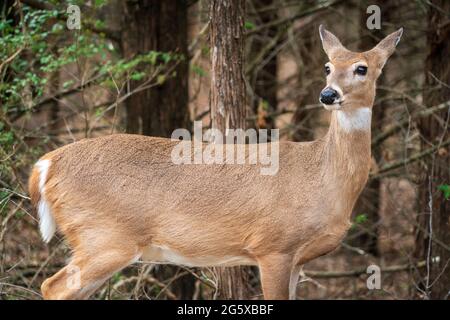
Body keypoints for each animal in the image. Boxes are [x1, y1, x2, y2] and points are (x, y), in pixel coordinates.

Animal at [28, 25, 400, 300]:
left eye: (362, 68)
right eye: (327, 67)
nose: (328, 94)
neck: (322, 179)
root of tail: (46, 164)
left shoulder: (297, 258)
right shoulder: (273, 246)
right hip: (103, 235)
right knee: (52, 286)